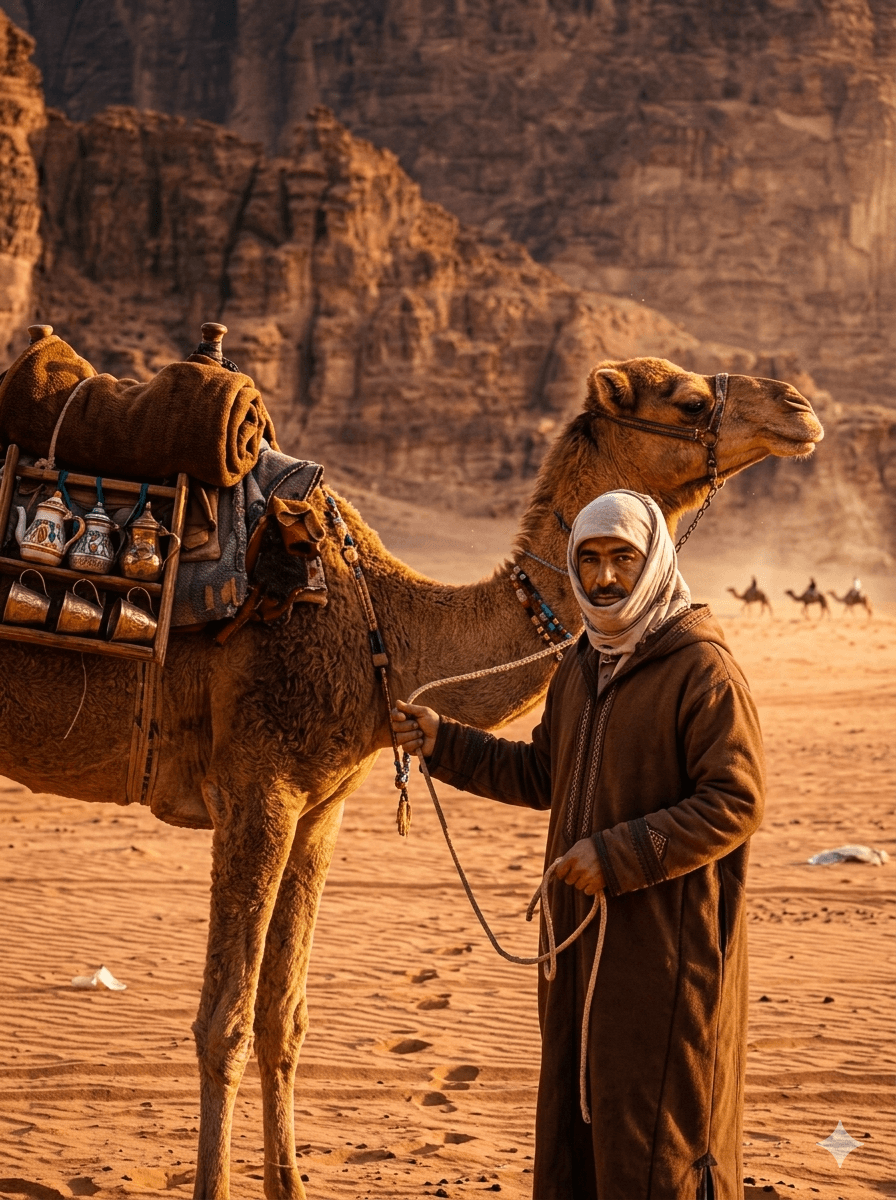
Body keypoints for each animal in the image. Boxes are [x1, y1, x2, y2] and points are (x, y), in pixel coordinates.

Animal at [0, 357, 822, 1199]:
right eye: (687, 400)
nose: (799, 406)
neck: (384, 627)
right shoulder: (257, 791)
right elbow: (223, 1021)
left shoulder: (317, 810)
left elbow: (282, 1017)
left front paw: (292, 1186)